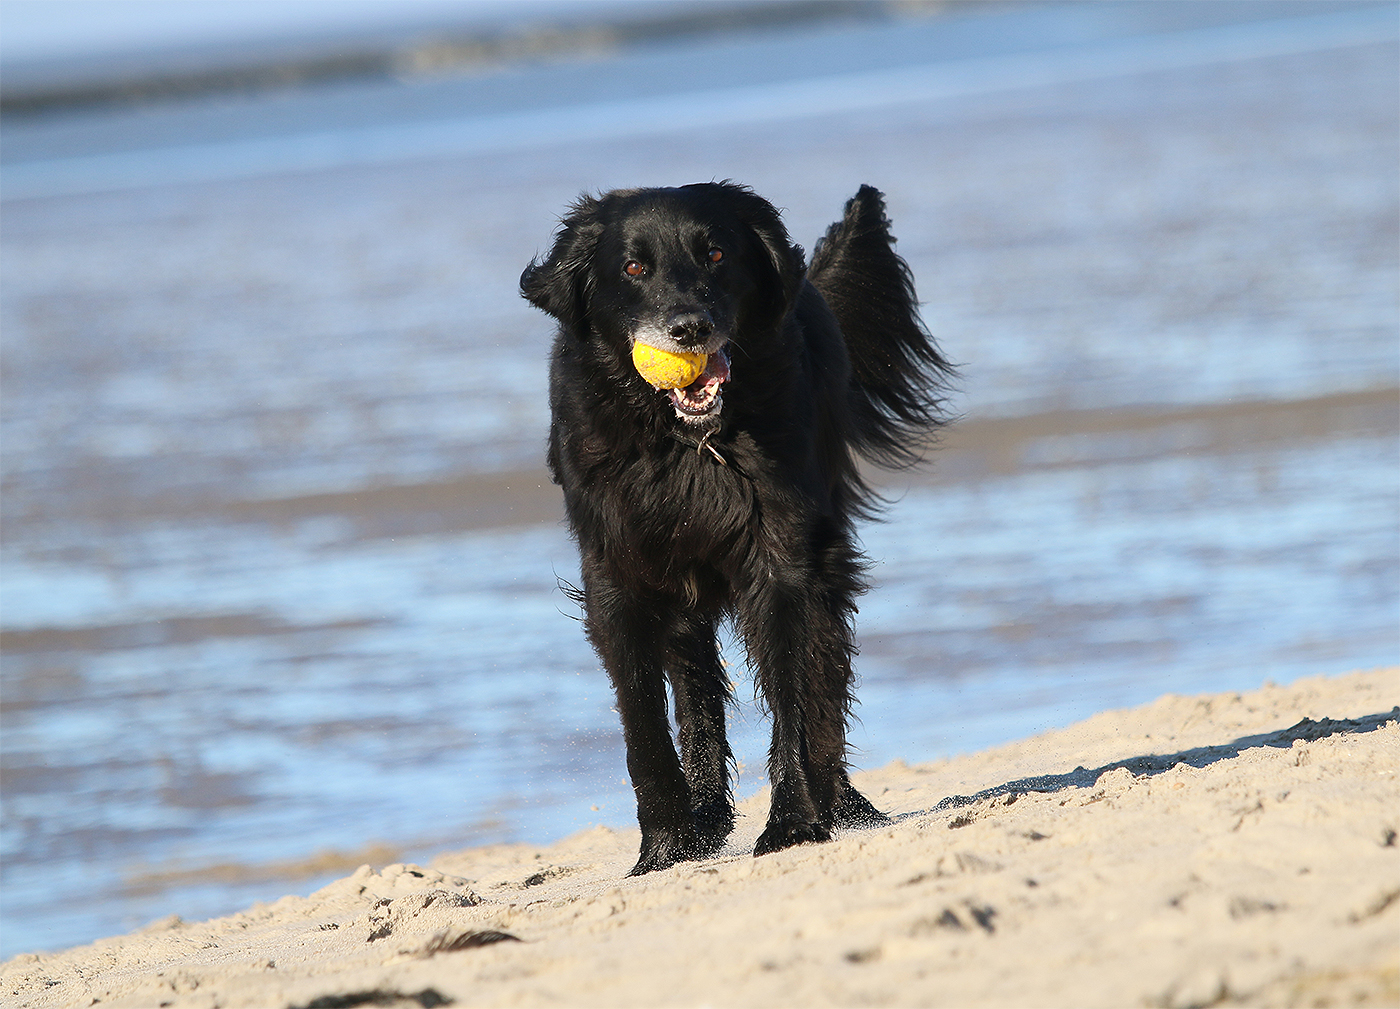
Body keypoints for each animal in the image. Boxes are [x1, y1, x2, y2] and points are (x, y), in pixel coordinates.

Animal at [521, 182, 953, 874]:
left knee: (825, 674)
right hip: (685, 597)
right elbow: (644, 723)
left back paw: (840, 804)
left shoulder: (782, 562)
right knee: (696, 690)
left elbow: (793, 698)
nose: (689, 328)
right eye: (633, 267)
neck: (684, 440)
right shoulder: (618, 576)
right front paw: (665, 847)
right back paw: (705, 820)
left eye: (717, 254)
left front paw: (794, 822)